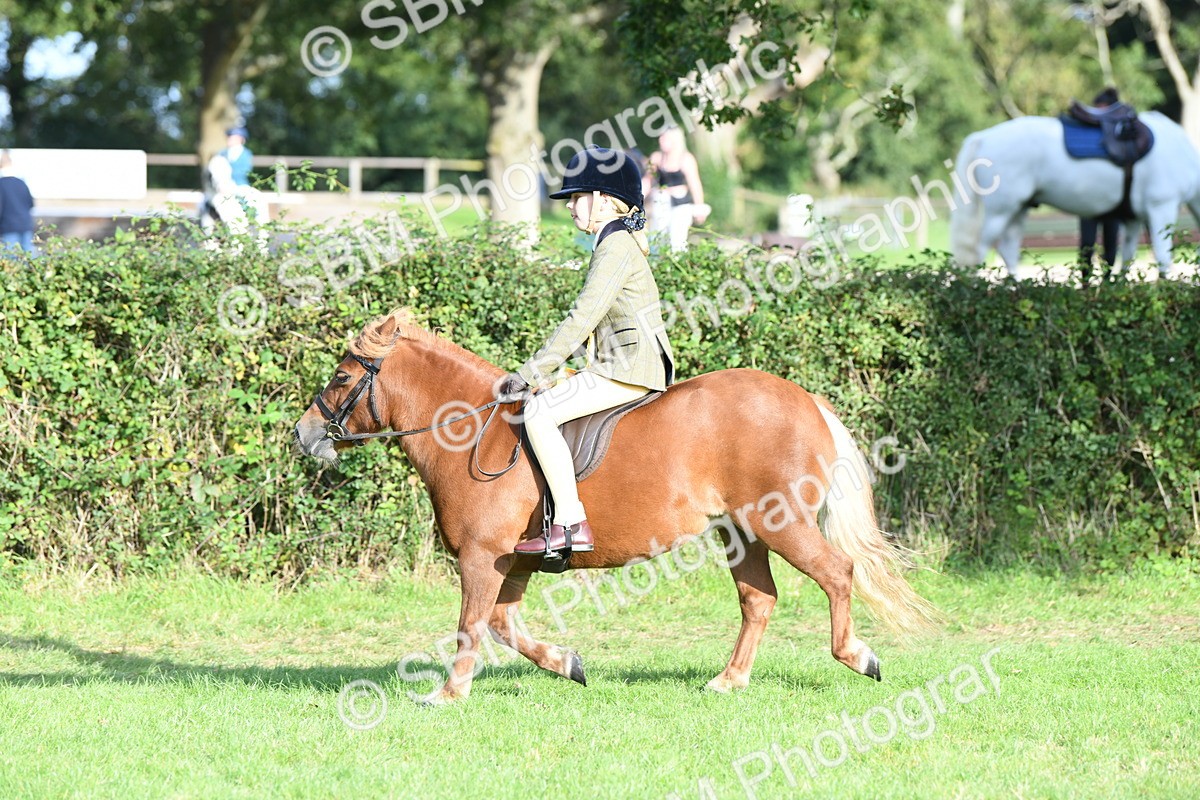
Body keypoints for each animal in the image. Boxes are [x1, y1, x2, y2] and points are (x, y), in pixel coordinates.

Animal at [293, 309, 938, 704]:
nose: (303, 436)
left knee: (837, 573)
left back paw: (857, 656)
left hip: (780, 525)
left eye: (342, 376)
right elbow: (504, 625)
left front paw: (448, 694)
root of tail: (807, 401)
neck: (473, 430)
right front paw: (567, 663)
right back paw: (728, 681)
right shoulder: (511, 562)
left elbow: (471, 626)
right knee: (759, 600)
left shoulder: (481, 557)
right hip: (741, 533)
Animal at [950, 111, 1200, 279]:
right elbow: (1164, 259)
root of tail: (982, 137)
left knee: (1008, 250)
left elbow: (1127, 261)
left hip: (1018, 210)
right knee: (978, 252)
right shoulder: (1162, 207)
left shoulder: (1133, 218)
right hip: (1000, 211)